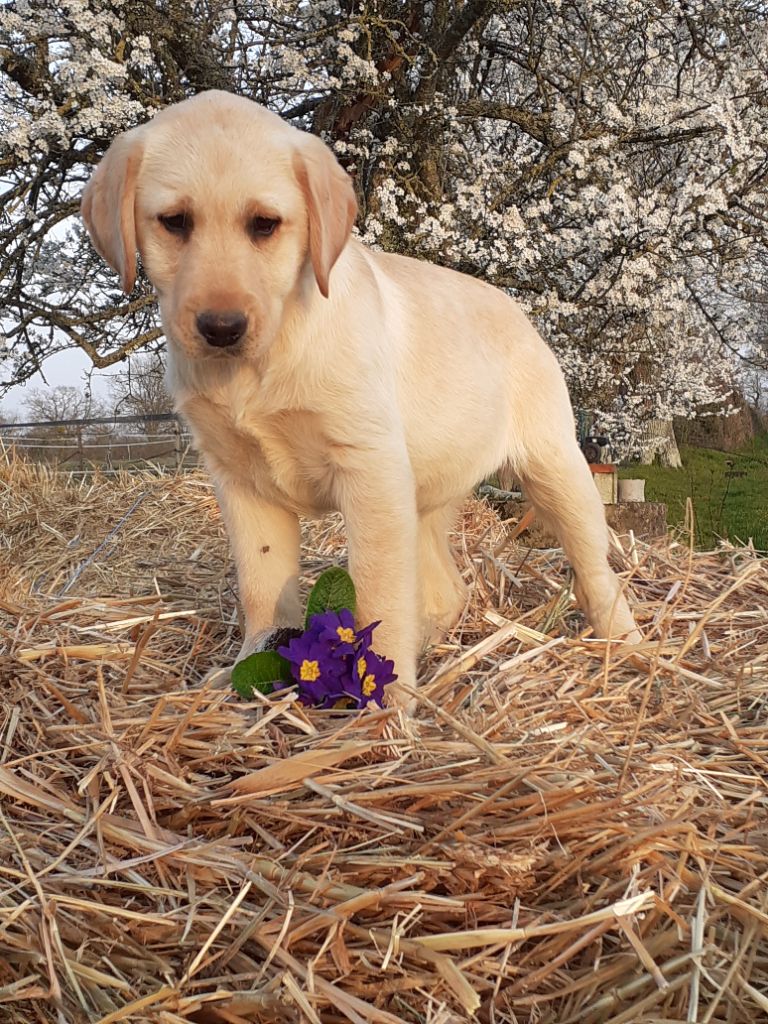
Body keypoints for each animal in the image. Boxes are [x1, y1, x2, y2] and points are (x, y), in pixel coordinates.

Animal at [81, 92, 638, 700]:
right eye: (175, 222)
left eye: (264, 225)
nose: (222, 328)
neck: (265, 359)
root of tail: (522, 314)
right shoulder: (240, 481)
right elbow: (261, 586)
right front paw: (247, 668)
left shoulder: (370, 470)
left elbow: (378, 593)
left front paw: (384, 701)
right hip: (424, 498)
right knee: (448, 589)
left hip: (556, 470)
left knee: (596, 572)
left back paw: (630, 649)